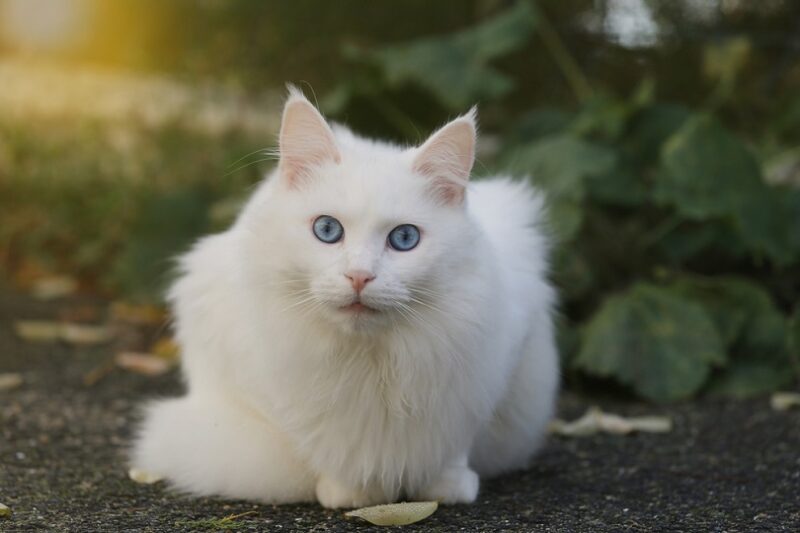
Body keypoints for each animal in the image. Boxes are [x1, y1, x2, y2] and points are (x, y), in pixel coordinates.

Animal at [130, 87, 556, 508]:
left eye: (404, 238)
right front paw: (351, 493)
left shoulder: (492, 366)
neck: (372, 363)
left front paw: (446, 487)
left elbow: (454, 444)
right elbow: (318, 443)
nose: (359, 276)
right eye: (327, 230)